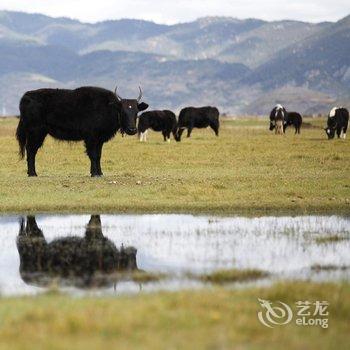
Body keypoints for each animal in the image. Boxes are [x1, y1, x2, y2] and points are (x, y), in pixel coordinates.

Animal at [15, 86, 149, 176]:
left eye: (136, 112)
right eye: (123, 111)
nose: (132, 129)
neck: (108, 107)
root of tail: (26, 97)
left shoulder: (99, 140)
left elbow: (98, 155)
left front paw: (100, 173)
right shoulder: (91, 138)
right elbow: (93, 155)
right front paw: (94, 174)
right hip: (35, 132)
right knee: (31, 151)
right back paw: (32, 173)